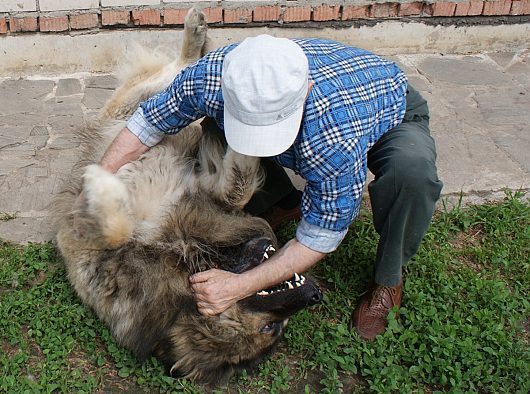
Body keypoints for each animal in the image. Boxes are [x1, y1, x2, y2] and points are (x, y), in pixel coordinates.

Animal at [53, 8, 320, 384]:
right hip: (136, 105)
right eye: (271, 328)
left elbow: (235, 186)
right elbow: (119, 227)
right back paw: (197, 37)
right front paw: (101, 185)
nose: (315, 294)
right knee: (174, 76)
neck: (178, 249)